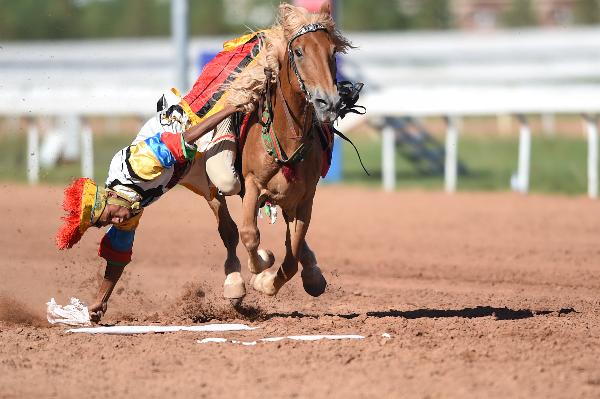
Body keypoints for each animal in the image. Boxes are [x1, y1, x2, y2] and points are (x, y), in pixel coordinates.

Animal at [209, 3, 354, 304]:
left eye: (333, 52)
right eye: (298, 52)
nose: (328, 102)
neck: (288, 136)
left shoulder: (305, 198)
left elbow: (292, 256)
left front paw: (267, 282)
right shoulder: (252, 184)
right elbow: (249, 234)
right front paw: (260, 265)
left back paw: (311, 273)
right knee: (228, 230)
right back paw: (234, 282)